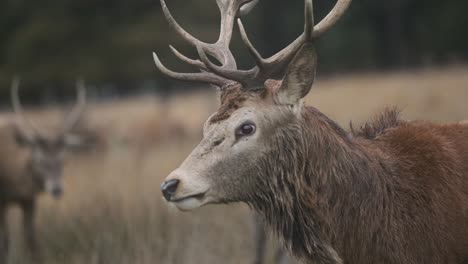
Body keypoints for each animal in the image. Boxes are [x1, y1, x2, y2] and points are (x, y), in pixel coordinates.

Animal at [0, 79, 86, 262]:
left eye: (64, 160)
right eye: (40, 160)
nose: (56, 189)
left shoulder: (29, 200)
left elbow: (30, 237)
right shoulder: (1, 202)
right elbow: (5, 240)